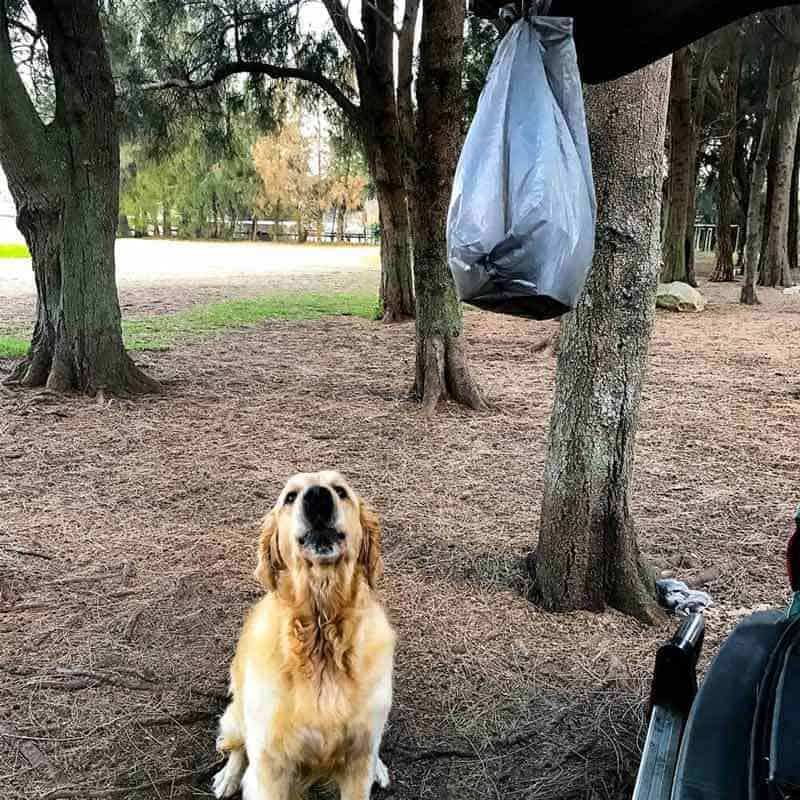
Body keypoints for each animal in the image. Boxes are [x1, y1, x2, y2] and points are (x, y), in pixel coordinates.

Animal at [211, 472, 396, 800]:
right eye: (290, 497)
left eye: (340, 491)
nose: (317, 497)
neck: (321, 633)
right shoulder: (271, 765)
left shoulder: (358, 761)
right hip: (238, 714)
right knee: (237, 745)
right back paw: (228, 777)